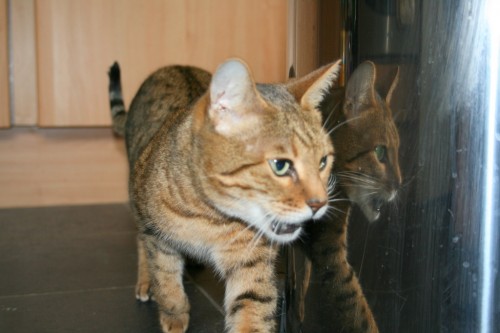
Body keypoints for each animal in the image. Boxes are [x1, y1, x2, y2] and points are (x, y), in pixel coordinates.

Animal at [107, 58, 342, 330]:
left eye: (323, 162)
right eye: (280, 165)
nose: (320, 203)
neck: (209, 218)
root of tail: (176, 65)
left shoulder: (250, 263)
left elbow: (251, 312)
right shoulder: (157, 237)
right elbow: (166, 279)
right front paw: (174, 314)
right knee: (141, 241)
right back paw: (146, 282)